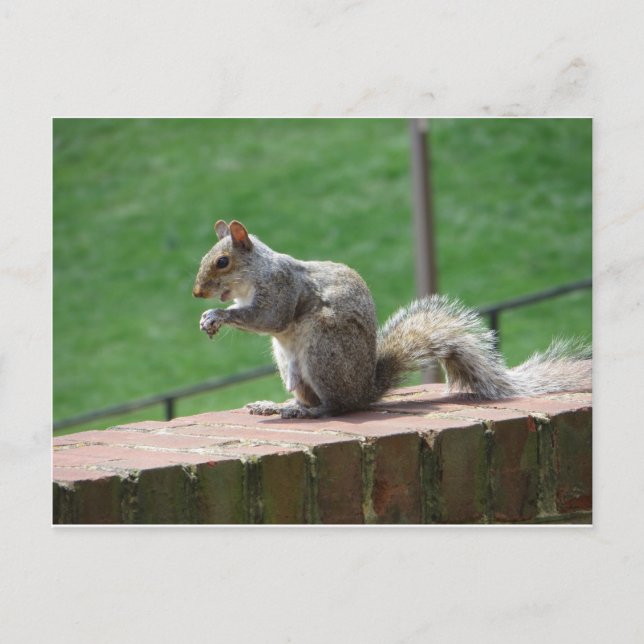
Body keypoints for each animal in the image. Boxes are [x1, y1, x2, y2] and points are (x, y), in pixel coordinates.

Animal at [193, 220, 591, 419]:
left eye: (222, 262)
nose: (197, 293)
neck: (254, 276)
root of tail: (365, 390)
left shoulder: (282, 289)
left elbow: (269, 318)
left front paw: (216, 315)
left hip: (322, 353)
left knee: (338, 406)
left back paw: (309, 412)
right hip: (294, 367)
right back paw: (279, 406)